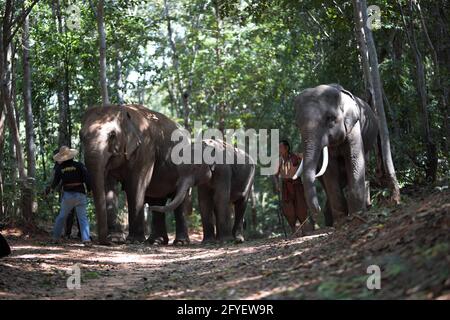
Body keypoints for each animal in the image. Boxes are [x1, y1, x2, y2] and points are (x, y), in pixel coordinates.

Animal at [80, 105, 191, 245]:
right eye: (81, 136)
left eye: (112, 135)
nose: (106, 242)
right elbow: (108, 185)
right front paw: (116, 238)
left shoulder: (145, 149)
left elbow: (136, 185)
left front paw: (134, 240)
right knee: (157, 201)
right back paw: (156, 241)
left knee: (180, 201)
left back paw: (180, 242)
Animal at [294, 84, 378, 226]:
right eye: (298, 125)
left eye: (330, 118)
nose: (317, 209)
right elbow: (330, 170)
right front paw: (341, 220)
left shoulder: (353, 126)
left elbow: (354, 160)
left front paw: (357, 215)